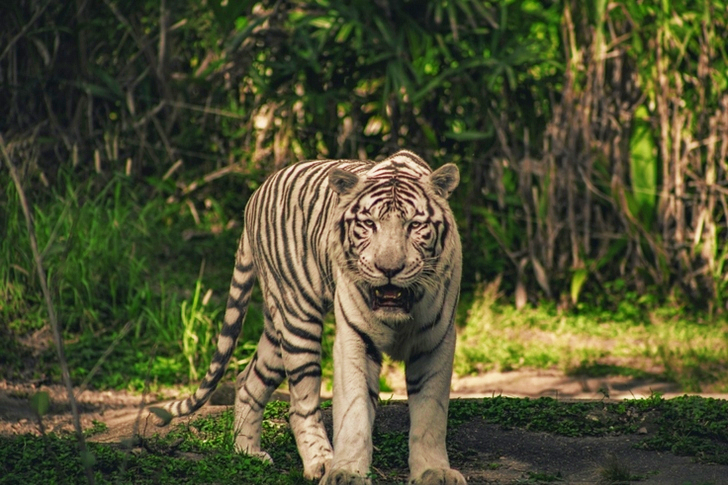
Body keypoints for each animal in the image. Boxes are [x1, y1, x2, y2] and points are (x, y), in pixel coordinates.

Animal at [155, 150, 465, 485]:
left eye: (414, 225)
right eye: (369, 224)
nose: (389, 269)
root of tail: (255, 195)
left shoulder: (436, 340)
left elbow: (431, 414)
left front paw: (434, 471)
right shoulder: (354, 338)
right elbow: (354, 409)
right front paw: (347, 472)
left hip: (276, 326)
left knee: (249, 380)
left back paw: (247, 452)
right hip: (297, 317)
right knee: (300, 405)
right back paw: (321, 462)